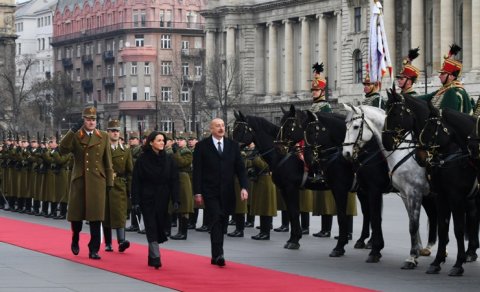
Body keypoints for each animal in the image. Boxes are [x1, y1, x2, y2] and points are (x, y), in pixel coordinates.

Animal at [233, 110, 314, 249]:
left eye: (240, 129)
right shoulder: (284, 189)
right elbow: (292, 212)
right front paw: (293, 238)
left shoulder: (290, 188)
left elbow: (294, 212)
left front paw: (294, 241)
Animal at [278, 106, 356, 256]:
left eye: (289, 125)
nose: (279, 147)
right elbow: (292, 212)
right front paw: (293, 239)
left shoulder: (339, 188)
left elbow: (341, 216)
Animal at [342, 104, 436, 270]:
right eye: (345, 126)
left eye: (355, 126)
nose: (345, 152)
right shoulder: (398, 193)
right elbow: (409, 221)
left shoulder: (378, 190)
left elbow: (376, 217)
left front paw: (375, 250)